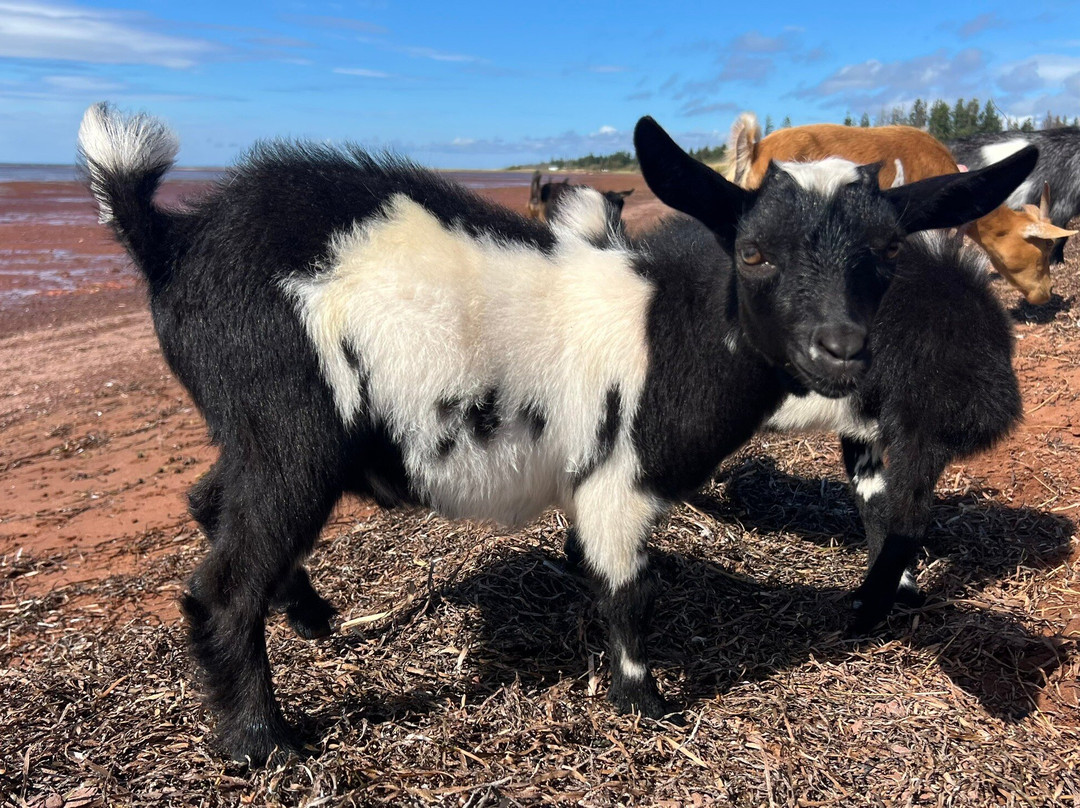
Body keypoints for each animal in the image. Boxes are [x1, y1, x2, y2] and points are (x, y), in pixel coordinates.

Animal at [78, 102, 1034, 765]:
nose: (841, 350)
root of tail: (170, 239)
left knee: (212, 500)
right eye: (754, 251)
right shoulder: (618, 477)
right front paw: (646, 707)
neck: (671, 331)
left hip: (253, 432)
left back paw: (312, 617)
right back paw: (265, 745)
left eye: (889, 253)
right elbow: (627, 592)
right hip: (287, 426)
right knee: (224, 582)